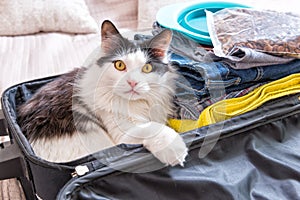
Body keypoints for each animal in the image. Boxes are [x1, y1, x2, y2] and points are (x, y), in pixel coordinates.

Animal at [17, 20, 188, 166]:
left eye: (147, 68)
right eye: (119, 65)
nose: (132, 82)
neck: (137, 104)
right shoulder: (123, 134)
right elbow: (151, 127)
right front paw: (175, 148)